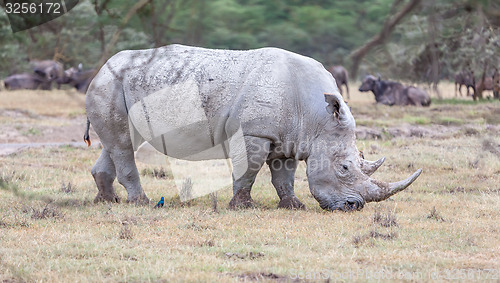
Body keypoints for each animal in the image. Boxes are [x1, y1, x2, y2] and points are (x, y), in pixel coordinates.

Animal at [84, 45, 420, 211]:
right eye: (345, 168)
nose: (354, 206)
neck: (316, 118)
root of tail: (99, 69)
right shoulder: (254, 133)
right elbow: (248, 171)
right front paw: (242, 207)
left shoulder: (289, 138)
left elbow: (284, 176)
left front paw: (293, 206)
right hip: (109, 85)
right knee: (123, 143)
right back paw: (140, 203)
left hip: (119, 85)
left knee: (117, 142)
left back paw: (107, 201)